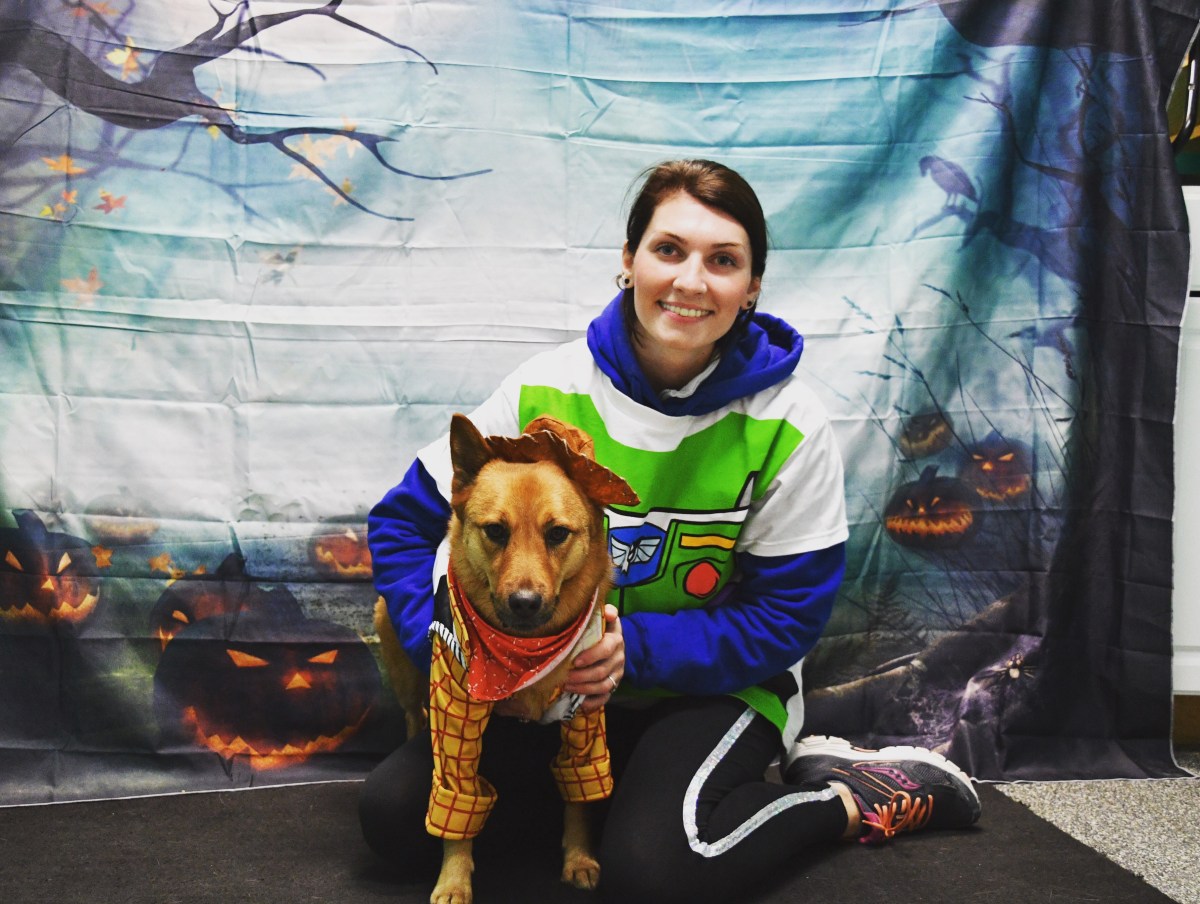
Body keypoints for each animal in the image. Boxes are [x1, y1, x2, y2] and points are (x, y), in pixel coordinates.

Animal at [374, 413, 638, 904]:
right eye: (496, 531)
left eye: (557, 533)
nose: (525, 603)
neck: (522, 652)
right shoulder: (456, 714)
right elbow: (455, 808)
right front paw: (453, 880)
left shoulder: (585, 713)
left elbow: (580, 791)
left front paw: (579, 858)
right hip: (401, 657)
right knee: (414, 714)